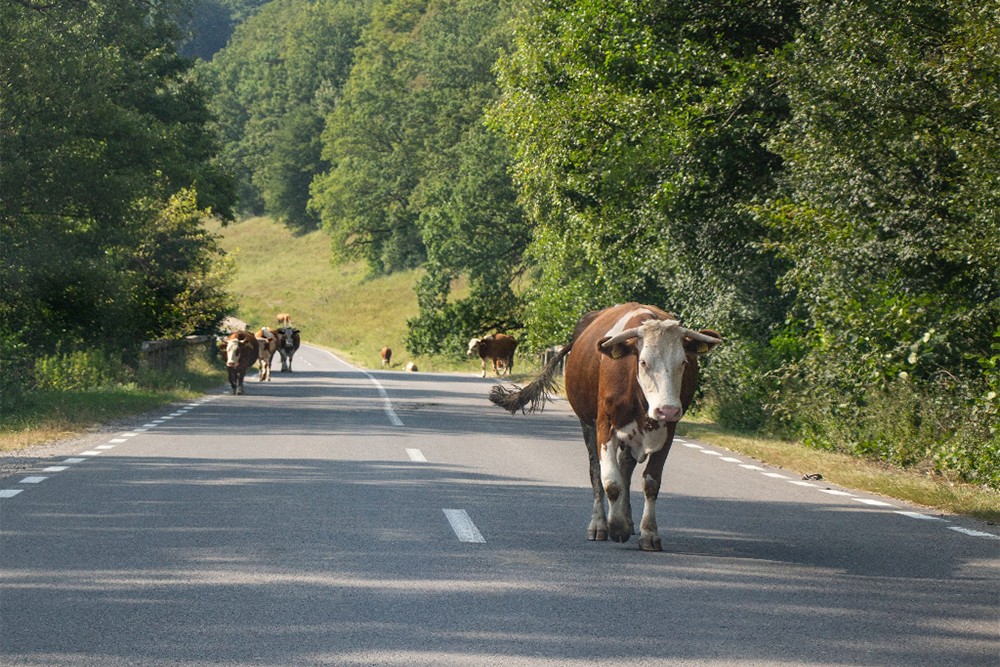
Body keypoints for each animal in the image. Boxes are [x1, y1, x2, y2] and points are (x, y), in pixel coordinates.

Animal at [490, 306, 720, 552]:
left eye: (684, 362)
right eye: (644, 362)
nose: (667, 410)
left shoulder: (668, 432)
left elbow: (650, 482)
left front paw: (648, 533)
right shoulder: (604, 426)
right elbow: (610, 481)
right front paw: (616, 527)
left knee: (625, 467)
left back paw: (628, 519)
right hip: (587, 424)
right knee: (596, 472)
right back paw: (600, 524)